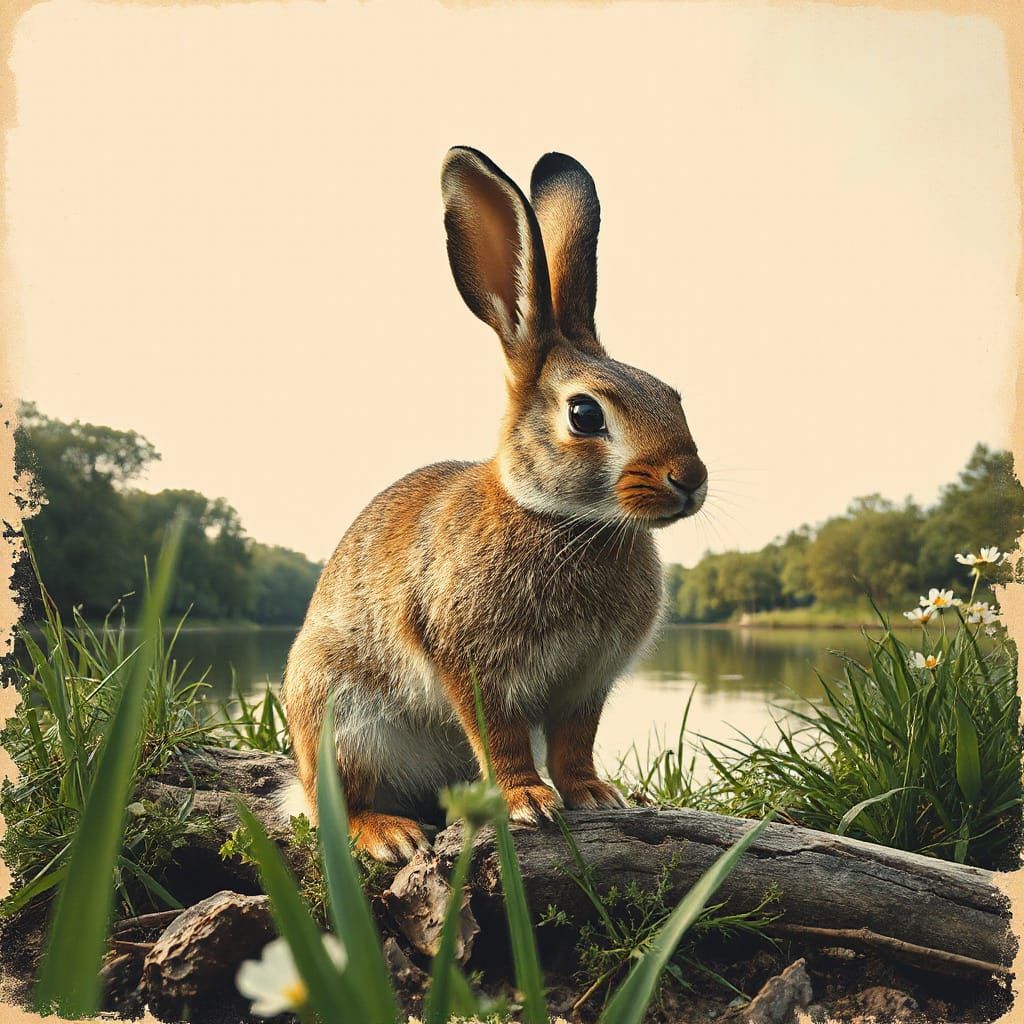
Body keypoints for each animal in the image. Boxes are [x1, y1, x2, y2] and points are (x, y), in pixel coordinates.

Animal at [279, 147, 708, 862]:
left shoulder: (586, 684)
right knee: (337, 804)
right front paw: (526, 801)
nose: (691, 479)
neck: (561, 519)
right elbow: (500, 737)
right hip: (343, 722)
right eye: (585, 414)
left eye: (670, 395)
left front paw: (594, 796)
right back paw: (389, 834)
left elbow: (574, 745)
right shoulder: (477, 667)